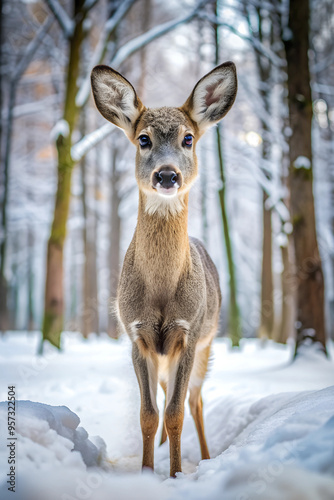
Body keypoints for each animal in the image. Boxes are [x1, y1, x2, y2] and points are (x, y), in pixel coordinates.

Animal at [90, 62, 237, 476]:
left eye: (188, 138)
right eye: (143, 139)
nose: (167, 175)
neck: (159, 292)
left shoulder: (189, 331)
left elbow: (175, 412)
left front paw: (174, 474)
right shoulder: (135, 334)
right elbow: (148, 413)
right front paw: (146, 470)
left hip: (207, 344)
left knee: (194, 401)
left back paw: (204, 457)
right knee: (165, 393)